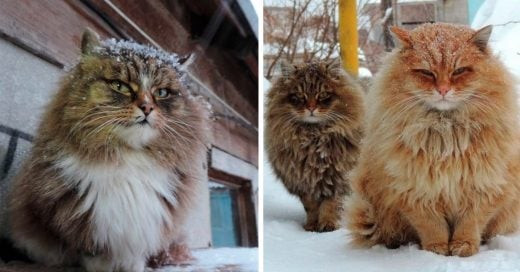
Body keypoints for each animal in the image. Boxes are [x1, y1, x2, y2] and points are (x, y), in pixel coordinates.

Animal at [9, 28, 210, 270]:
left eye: (162, 93)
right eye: (119, 86)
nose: (147, 108)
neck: (131, 159)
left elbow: (136, 262)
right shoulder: (86, 229)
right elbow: (95, 260)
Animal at [266, 59, 364, 232]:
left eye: (323, 95)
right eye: (300, 95)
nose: (311, 108)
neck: (313, 137)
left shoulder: (338, 178)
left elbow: (331, 205)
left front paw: (328, 225)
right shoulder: (303, 182)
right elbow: (310, 207)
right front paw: (311, 225)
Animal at [346, 23, 520, 258]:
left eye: (459, 71)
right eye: (426, 73)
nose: (443, 90)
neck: (446, 133)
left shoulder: (484, 188)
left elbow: (469, 224)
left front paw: (463, 246)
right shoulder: (414, 193)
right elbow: (432, 227)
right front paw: (436, 250)